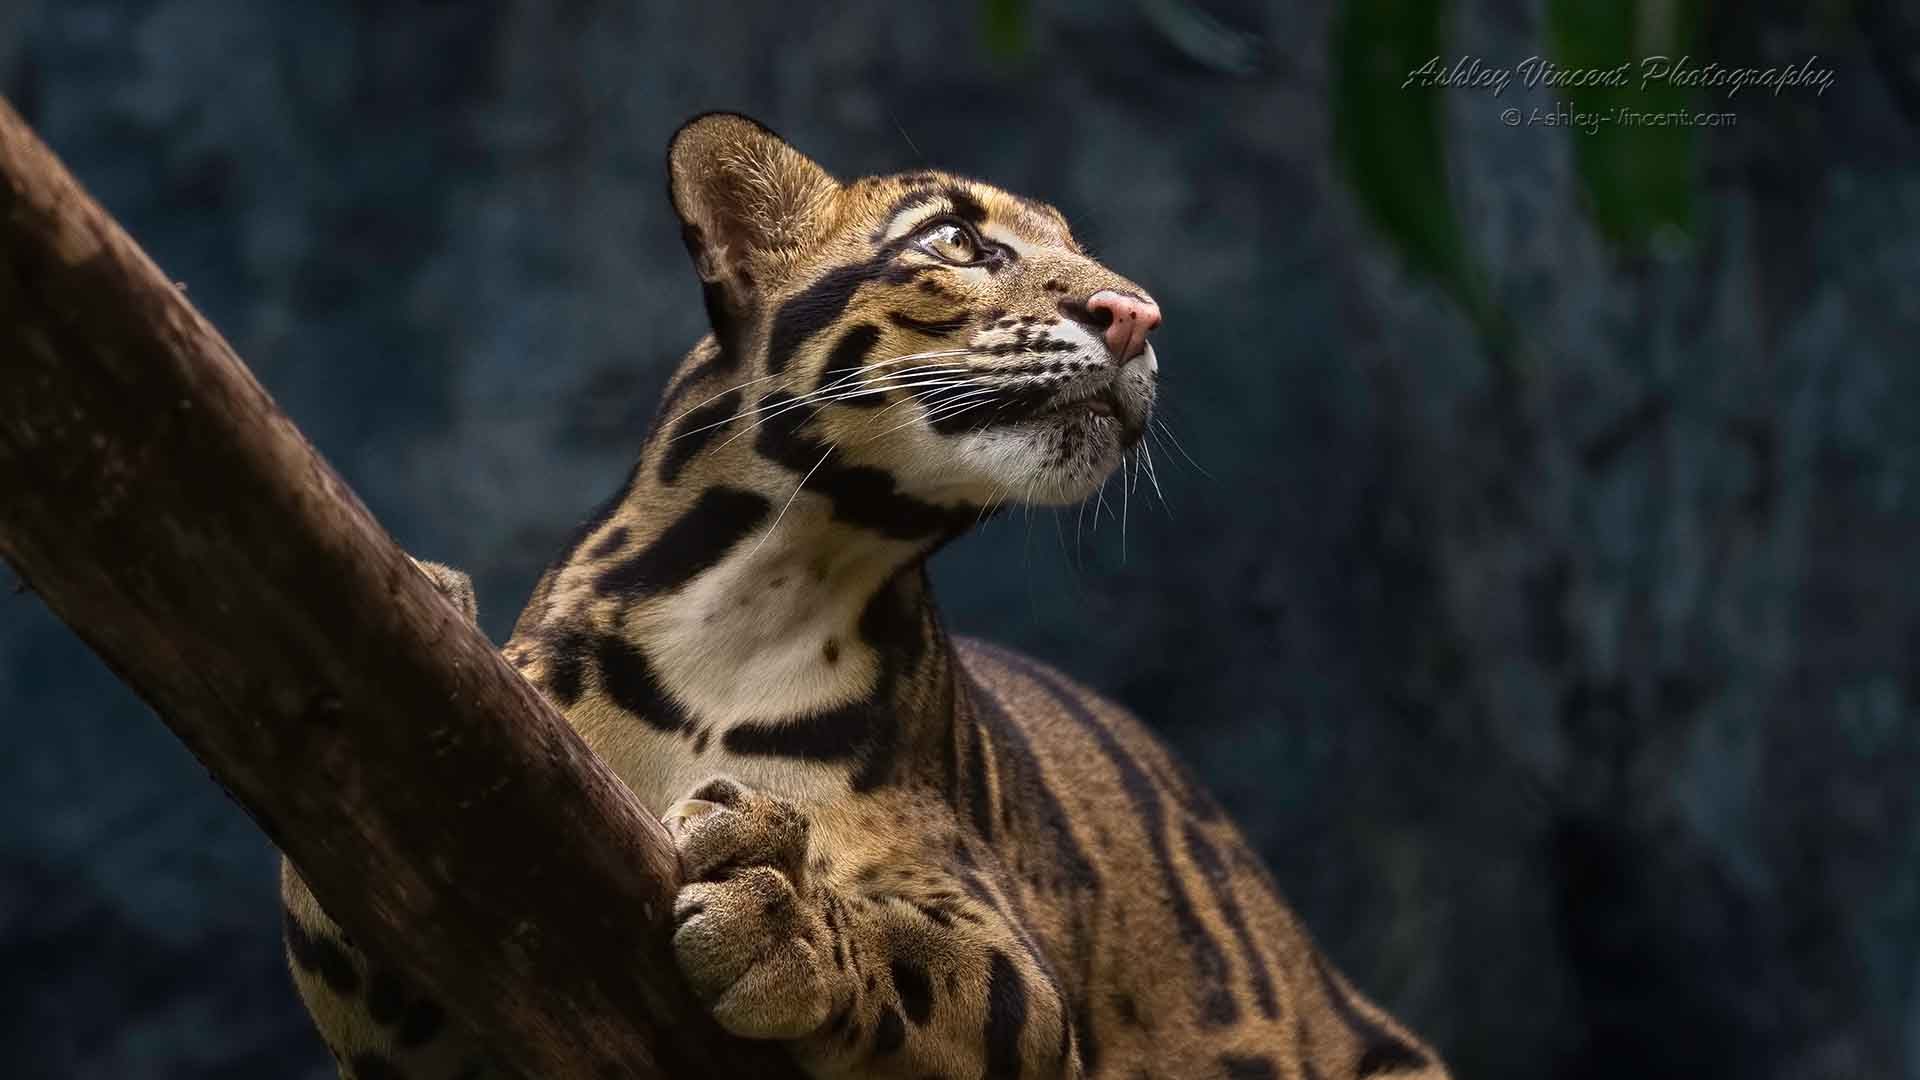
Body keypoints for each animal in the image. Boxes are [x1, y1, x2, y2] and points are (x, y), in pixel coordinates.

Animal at [280, 112, 1451, 1080]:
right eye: (960, 241)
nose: (1137, 316)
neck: (763, 589)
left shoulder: (1007, 955)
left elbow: (940, 964)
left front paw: (784, 912)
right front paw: (430, 604)